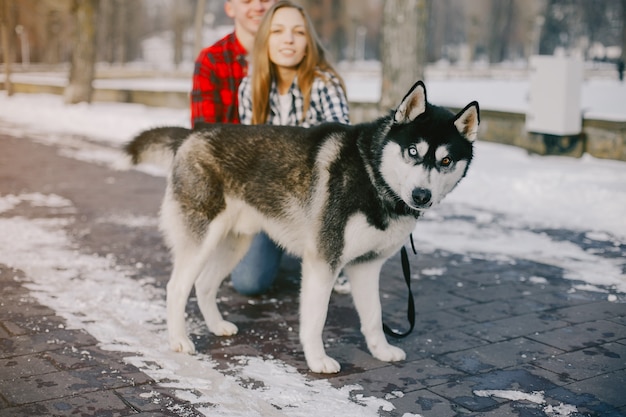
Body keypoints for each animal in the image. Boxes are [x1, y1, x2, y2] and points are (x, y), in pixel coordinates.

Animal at [127, 81, 478, 374]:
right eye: (412, 151)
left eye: (446, 161)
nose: (422, 195)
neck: (372, 175)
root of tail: (193, 134)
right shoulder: (323, 262)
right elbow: (316, 319)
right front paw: (318, 360)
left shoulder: (366, 266)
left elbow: (374, 316)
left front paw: (381, 350)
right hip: (203, 240)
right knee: (177, 288)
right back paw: (179, 340)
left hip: (235, 243)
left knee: (203, 285)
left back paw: (217, 326)